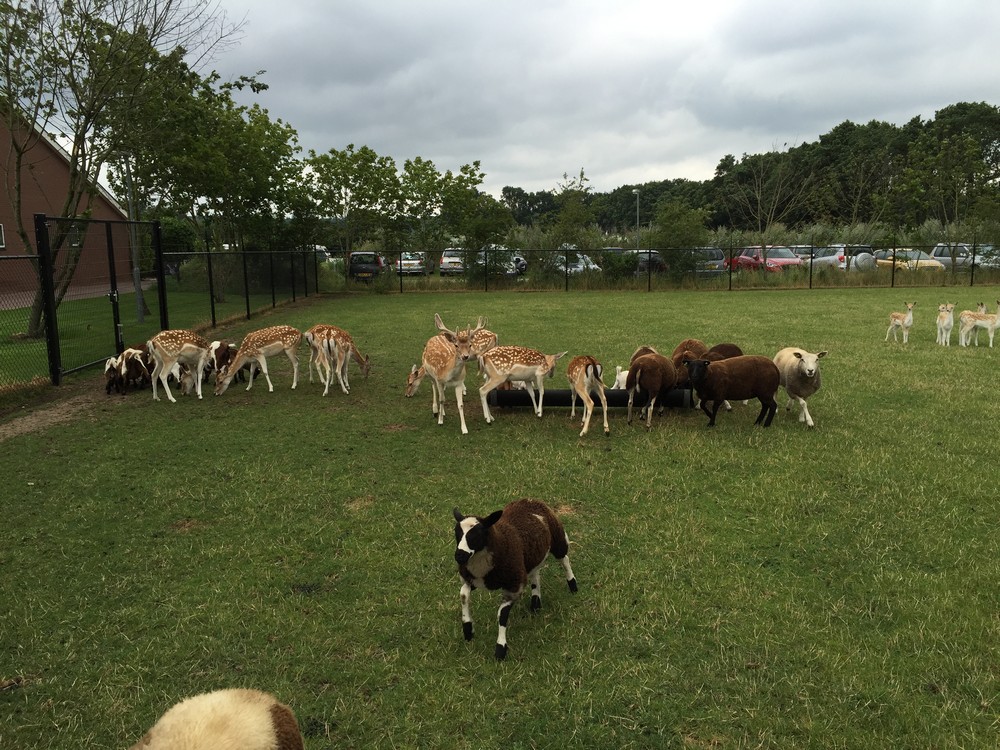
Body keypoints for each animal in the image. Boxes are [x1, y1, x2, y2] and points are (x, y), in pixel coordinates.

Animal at [454, 502, 580, 660]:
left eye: (477, 534)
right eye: (456, 533)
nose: (459, 556)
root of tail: (530, 500)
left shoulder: (513, 586)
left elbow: (502, 615)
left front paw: (500, 649)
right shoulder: (472, 580)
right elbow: (463, 596)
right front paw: (468, 629)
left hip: (557, 539)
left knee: (564, 559)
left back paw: (573, 585)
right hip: (529, 559)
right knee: (535, 574)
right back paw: (535, 602)